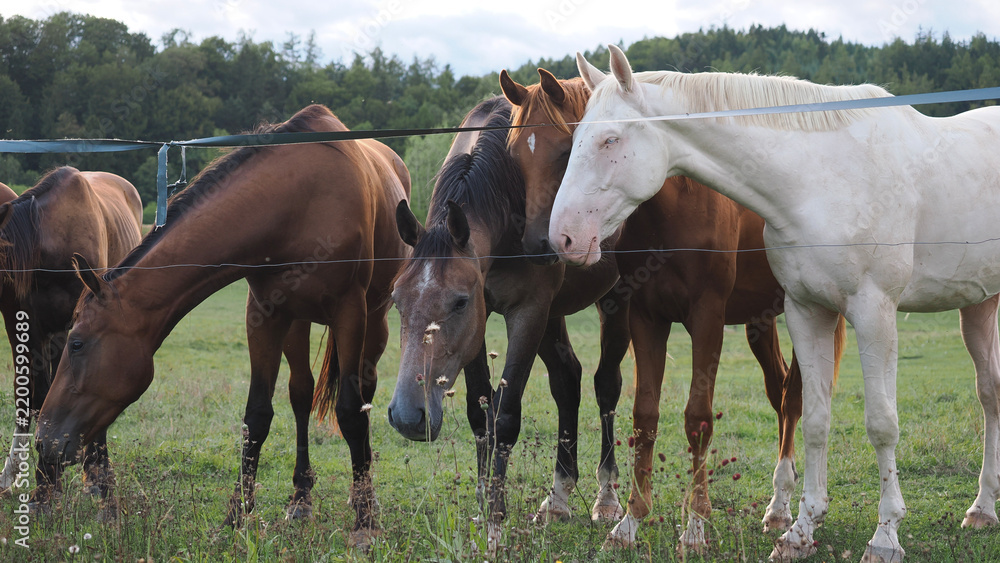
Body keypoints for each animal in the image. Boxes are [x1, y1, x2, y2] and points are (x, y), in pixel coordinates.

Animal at [35, 104, 411, 547]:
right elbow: (257, 417)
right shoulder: (264, 315)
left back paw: (362, 494)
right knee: (300, 394)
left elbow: (351, 413)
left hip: (375, 320)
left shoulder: (350, 312)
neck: (299, 203)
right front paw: (236, 518)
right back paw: (301, 497)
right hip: (297, 323)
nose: (44, 440)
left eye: (76, 343)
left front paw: (365, 522)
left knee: (363, 393)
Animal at [386, 96, 629, 552]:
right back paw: (557, 498)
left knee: (606, 385)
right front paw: (484, 510)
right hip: (555, 316)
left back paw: (606, 498)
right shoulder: (482, 329)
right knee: (567, 379)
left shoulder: (528, 311)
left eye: (459, 302)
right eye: (396, 300)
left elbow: (504, 416)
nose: (409, 417)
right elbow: (479, 414)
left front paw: (496, 525)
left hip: (615, 299)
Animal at [500, 68, 846, 551]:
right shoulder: (646, 318)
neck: (678, 205)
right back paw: (779, 503)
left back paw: (782, 506)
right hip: (760, 321)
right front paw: (628, 522)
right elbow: (644, 416)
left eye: (566, 149)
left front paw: (695, 527)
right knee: (779, 392)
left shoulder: (706, 319)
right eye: (513, 153)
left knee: (794, 399)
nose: (553, 241)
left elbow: (698, 418)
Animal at [549, 44, 1000, 562]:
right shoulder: (807, 311)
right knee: (990, 394)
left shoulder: (874, 313)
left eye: (610, 139)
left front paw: (885, 536)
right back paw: (982, 509)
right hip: (979, 306)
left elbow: (881, 424)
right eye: (574, 138)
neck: (821, 178)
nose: (562, 238)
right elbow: (814, 418)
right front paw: (799, 531)